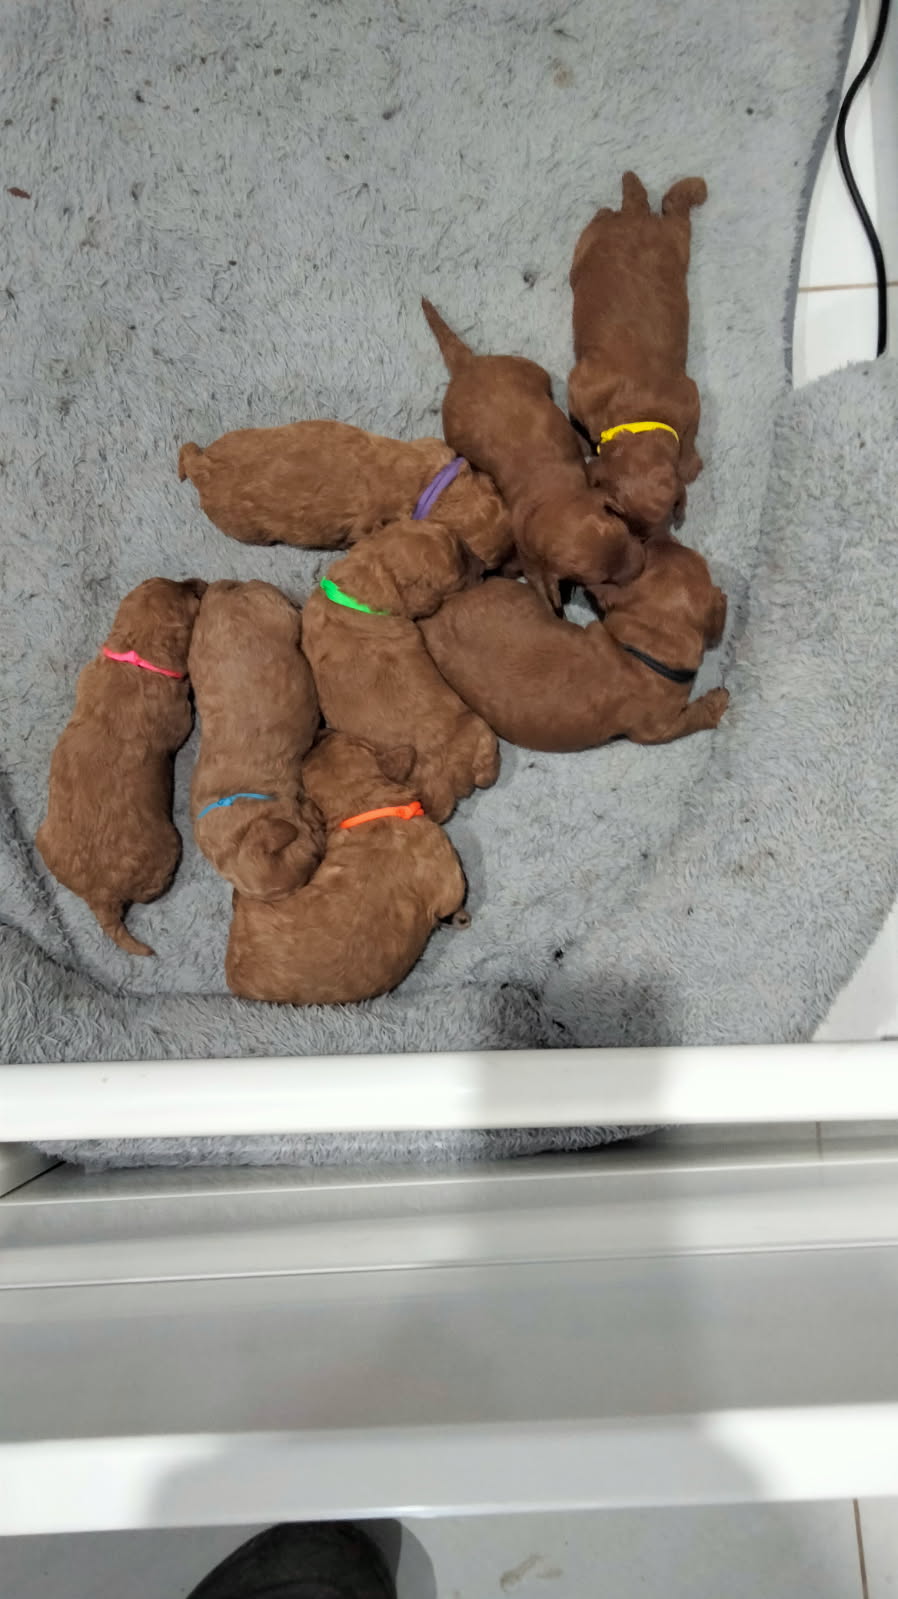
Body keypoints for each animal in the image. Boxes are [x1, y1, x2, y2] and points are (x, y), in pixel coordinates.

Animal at [36, 577, 205, 955]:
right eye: (191, 594)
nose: (201, 582)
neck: (135, 656)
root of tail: (101, 898)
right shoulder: (177, 715)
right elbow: (184, 720)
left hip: (44, 838)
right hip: (169, 847)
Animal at [226, 731, 469, 1004]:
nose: (321, 733)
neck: (362, 805)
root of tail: (234, 978)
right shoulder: (447, 872)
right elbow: (454, 898)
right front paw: (460, 917)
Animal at [421, 298, 643, 613]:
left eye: (623, 532)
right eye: (601, 579)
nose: (642, 567)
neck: (554, 499)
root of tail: (466, 364)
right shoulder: (529, 554)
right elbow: (539, 580)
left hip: (528, 369)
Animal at [568, 171, 707, 532]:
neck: (641, 414)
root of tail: (637, 213)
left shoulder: (690, 396)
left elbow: (691, 433)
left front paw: (689, 464)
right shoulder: (578, 387)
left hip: (673, 241)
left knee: (671, 207)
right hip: (645, 241)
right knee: (667, 207)